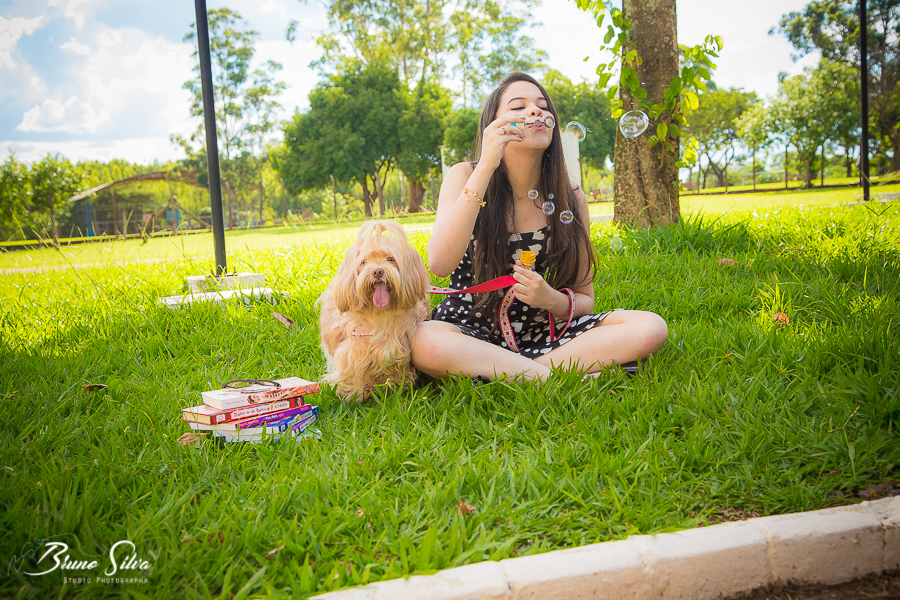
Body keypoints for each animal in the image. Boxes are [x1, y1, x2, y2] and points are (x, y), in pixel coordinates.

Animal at [318, 220, 430, 401]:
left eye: (390, 259)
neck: (379, 313)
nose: (377, 271)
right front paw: (356, 393)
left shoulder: (399, 348)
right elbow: (354, 372)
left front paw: (397, 387)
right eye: (364, 261)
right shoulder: (353, 351)